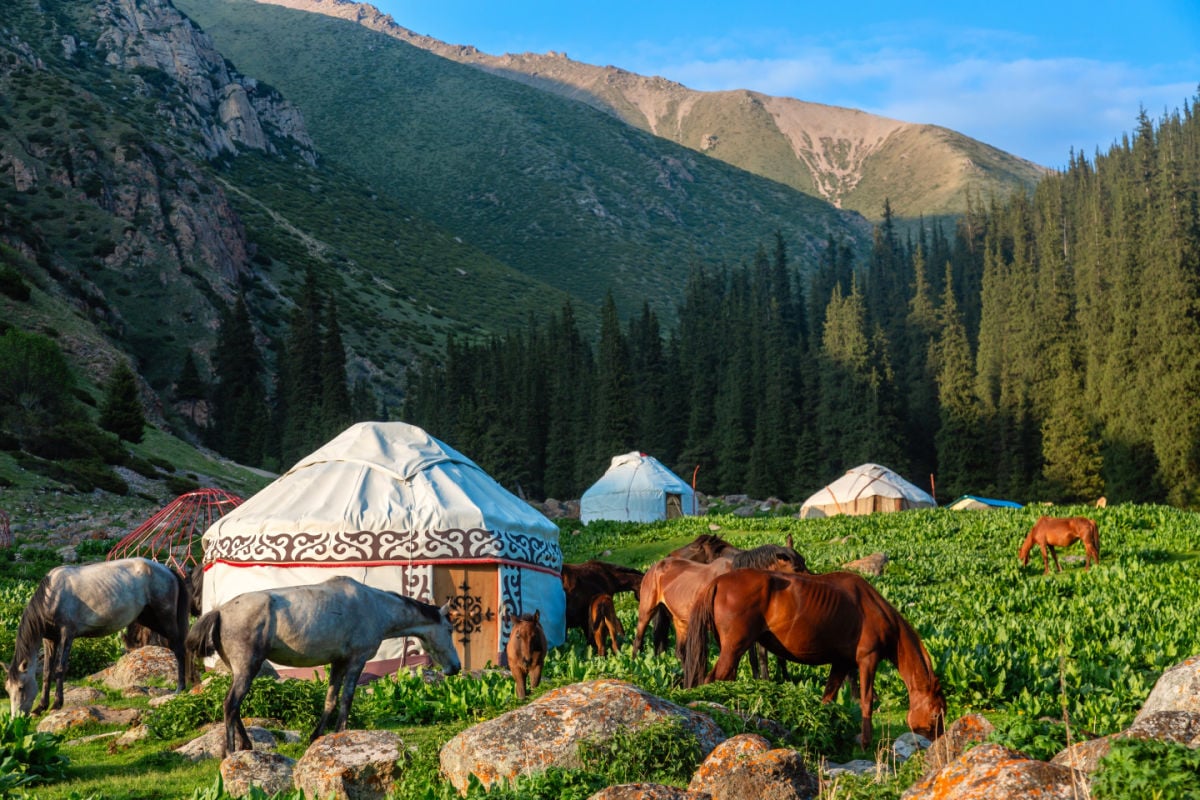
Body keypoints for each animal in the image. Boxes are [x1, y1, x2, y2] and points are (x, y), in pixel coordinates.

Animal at [3, 557, 190, 716]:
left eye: (21, 687)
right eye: (7, 689)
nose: (16, 718)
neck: (52, 596)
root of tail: (167, 570)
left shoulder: (67, 634)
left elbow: (59, 669)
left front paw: (56, 704)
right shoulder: (50, 639)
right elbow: (47, 672)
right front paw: (41, 707)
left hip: (164, 619)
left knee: (179, 649)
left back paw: (180, 688)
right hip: (148, 620)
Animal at [186, 575, 460, 755]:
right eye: (449, 629)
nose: (456, 667)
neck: (375, 607)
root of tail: (220, 611)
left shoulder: (338, 662)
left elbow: (330, 699)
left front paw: (316, 736)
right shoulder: (356, 661)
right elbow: (347, 699)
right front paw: (342, 732)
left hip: (240, 670)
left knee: (235, 707)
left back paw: (247, 745)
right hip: (247, 668)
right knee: (230, 704)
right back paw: (232, 751)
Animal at [681, 568, 946, 748]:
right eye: (936, 713)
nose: (939, 743)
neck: (874, 609)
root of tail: (717, 582)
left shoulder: (841, 664)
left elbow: (827, 699)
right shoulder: (867, 661)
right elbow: (867, 701)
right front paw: (866, 742)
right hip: (734, 648)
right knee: (714, 679)